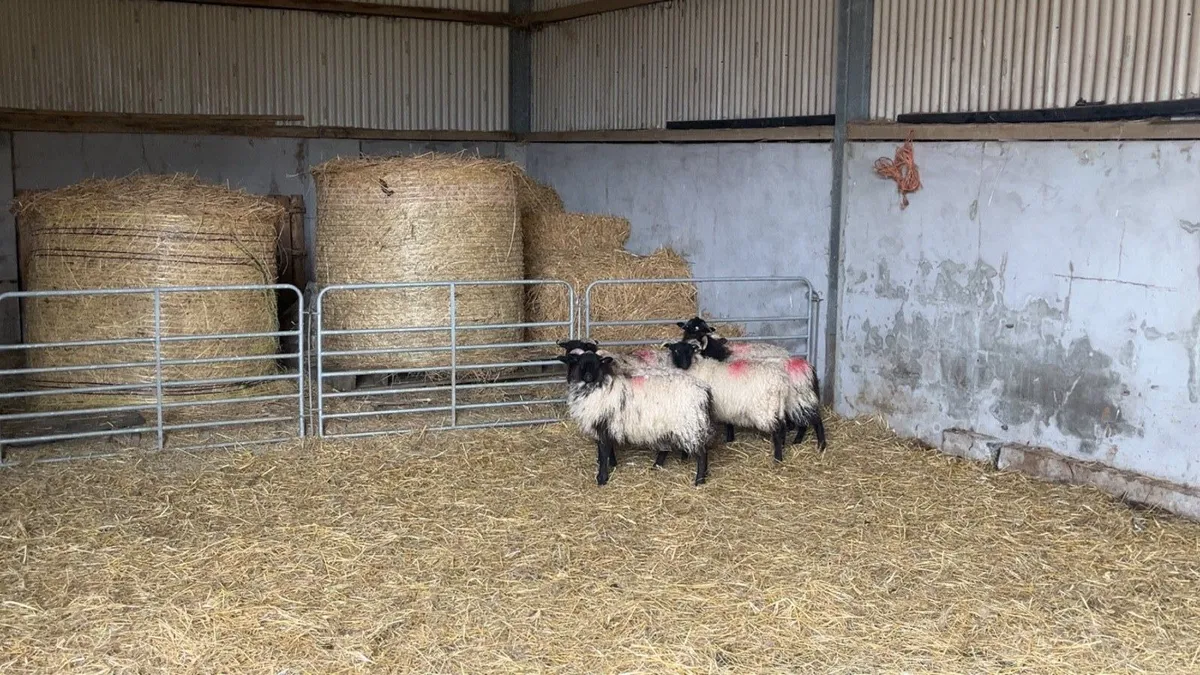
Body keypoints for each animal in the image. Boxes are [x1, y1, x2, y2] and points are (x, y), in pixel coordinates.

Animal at [556, 349, 715, 486]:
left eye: (597, 364)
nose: (588, 377)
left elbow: (603, 451)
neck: (598, 386)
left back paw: (699, 480)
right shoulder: (610, 425)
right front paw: (613, 464)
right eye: (580, 364)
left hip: (690, 424)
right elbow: (609, 449)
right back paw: (657, 465)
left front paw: (602, 478)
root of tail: (703, 389)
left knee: (702, 453)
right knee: (667, 448)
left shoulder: (603, 424)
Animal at [664, 339, 794, 463]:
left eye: (690, 351)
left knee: (777, 431)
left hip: (765, 410)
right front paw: (730, 439)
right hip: (777, 407)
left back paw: (777, 458)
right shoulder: (727, 407)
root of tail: (781, 382)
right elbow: (729, 424)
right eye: (675, 351)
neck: (695, 369)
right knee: (783, 426)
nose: (684, 365)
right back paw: (782, 446)